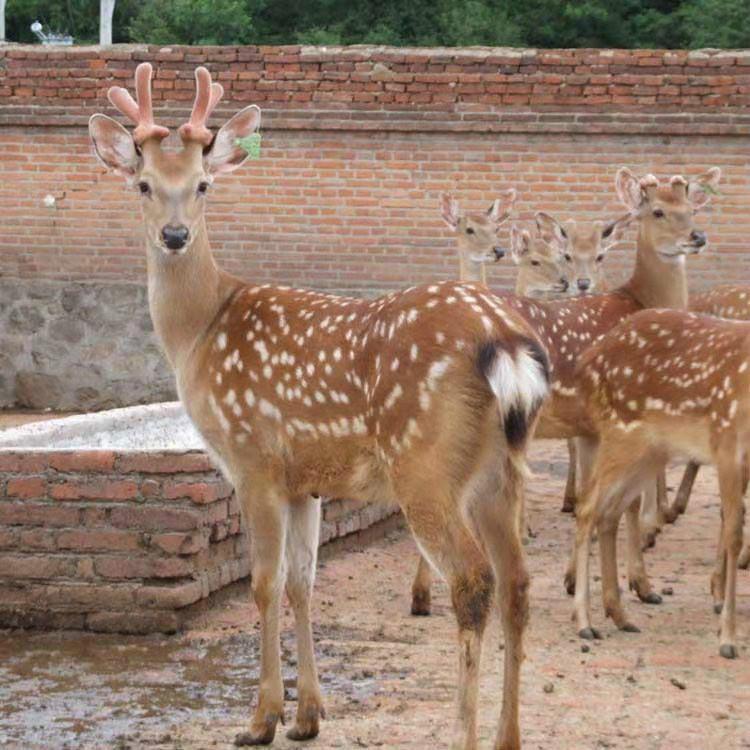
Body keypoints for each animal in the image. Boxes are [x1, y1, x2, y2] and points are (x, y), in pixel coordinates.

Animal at [89, 63, 552, 750]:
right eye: (144, 184)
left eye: (202, 185)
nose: (174, 235)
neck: (198, 330)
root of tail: (507, 344)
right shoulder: (304, 480)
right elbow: (303, 583)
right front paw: (308, 714)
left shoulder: (252, 459)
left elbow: (263, 583)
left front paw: (260, 719)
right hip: (503, 469)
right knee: (518, 582)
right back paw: (507, 737)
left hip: (426, 465)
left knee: (474, 581)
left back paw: (462, 733)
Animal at [572, 308, 748, 660]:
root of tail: (590, 357)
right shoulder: (727, 442)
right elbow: (734, 533)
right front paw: (727, 638)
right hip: (621, 434)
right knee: (587, 507)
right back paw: (585, 622)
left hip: (652, 451)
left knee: (609, 512)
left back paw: (621, 615)